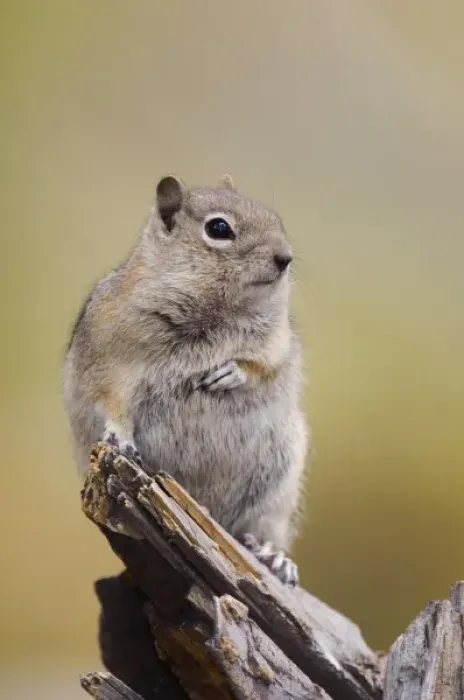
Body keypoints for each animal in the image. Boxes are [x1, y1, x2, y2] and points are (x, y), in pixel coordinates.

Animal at [62, 173, 308, 585]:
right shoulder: (108, 360)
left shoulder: (277, 342)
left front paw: (232, 371)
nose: (284, 258)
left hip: (278, 490)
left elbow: (265, 364)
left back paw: (275, 557)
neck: (214, 311)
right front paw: (120, 435)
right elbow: (111, 399)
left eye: (276, 219)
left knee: (262, 527)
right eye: (219, 228)